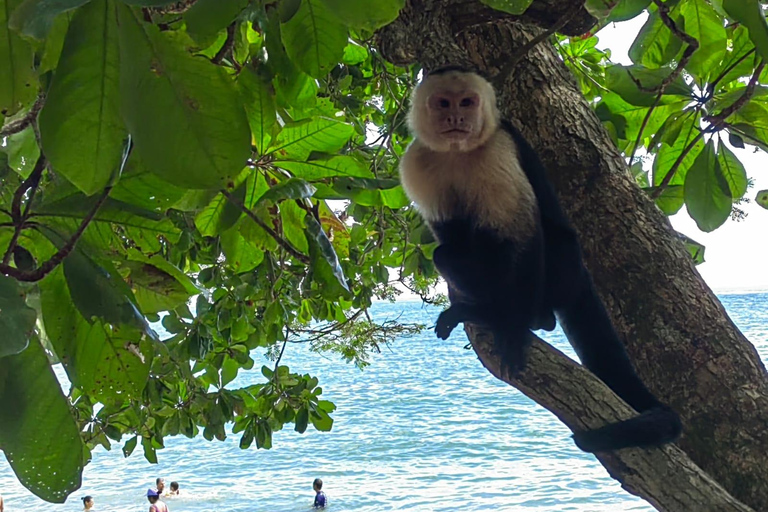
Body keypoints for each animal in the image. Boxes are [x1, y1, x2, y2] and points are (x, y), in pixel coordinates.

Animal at [400, 67, 680, 452]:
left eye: (467, 102)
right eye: (443, 103)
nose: (456, 118)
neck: (458, 152)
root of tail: (580, 272)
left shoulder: (498, 149)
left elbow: (524, 236)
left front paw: (515, 328)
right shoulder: (416, 163)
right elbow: (448, 233)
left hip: (560, 269)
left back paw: (519, 317)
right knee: (450, 251)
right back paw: (480, 307)